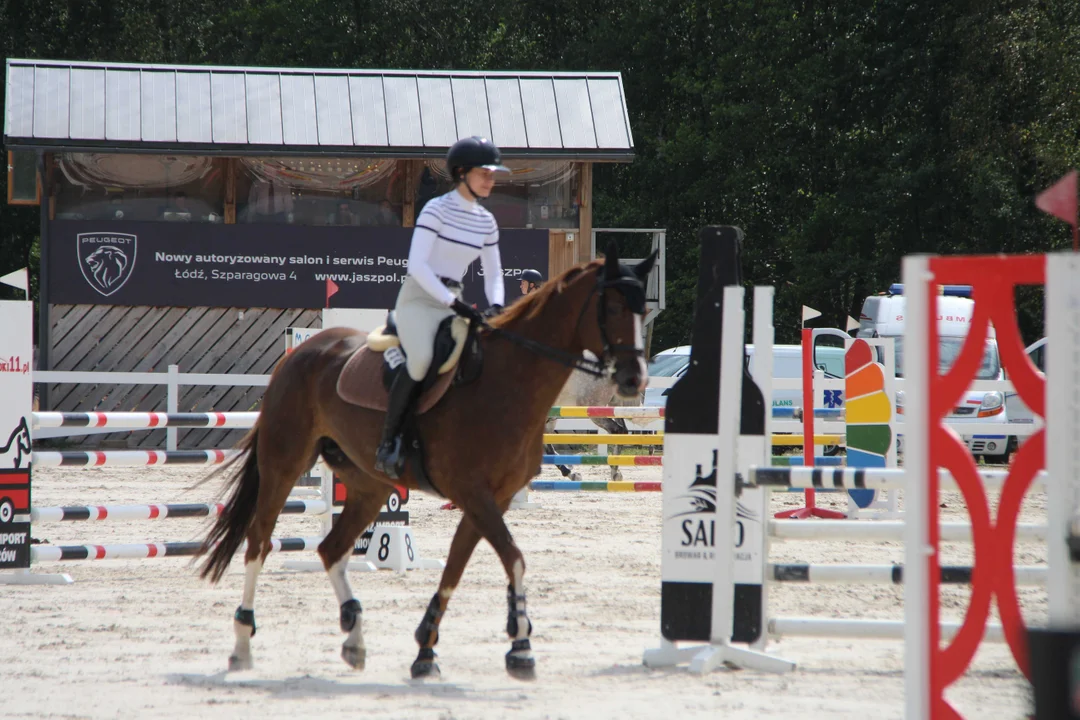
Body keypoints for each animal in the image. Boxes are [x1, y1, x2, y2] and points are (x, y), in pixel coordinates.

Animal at [196, 248, 648, 682]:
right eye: (612, 309)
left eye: (641, 309)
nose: (635, 377)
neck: (506, 382)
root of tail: (303, 350)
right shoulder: (474, 494)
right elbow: (512, 558)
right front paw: (518, 647)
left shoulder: (488, 500)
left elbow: (459, 568)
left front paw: (430, 651)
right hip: (284, 462)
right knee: (259, 541)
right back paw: (243, 644)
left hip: (369, 485)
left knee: (330, 548)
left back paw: (354, 638)